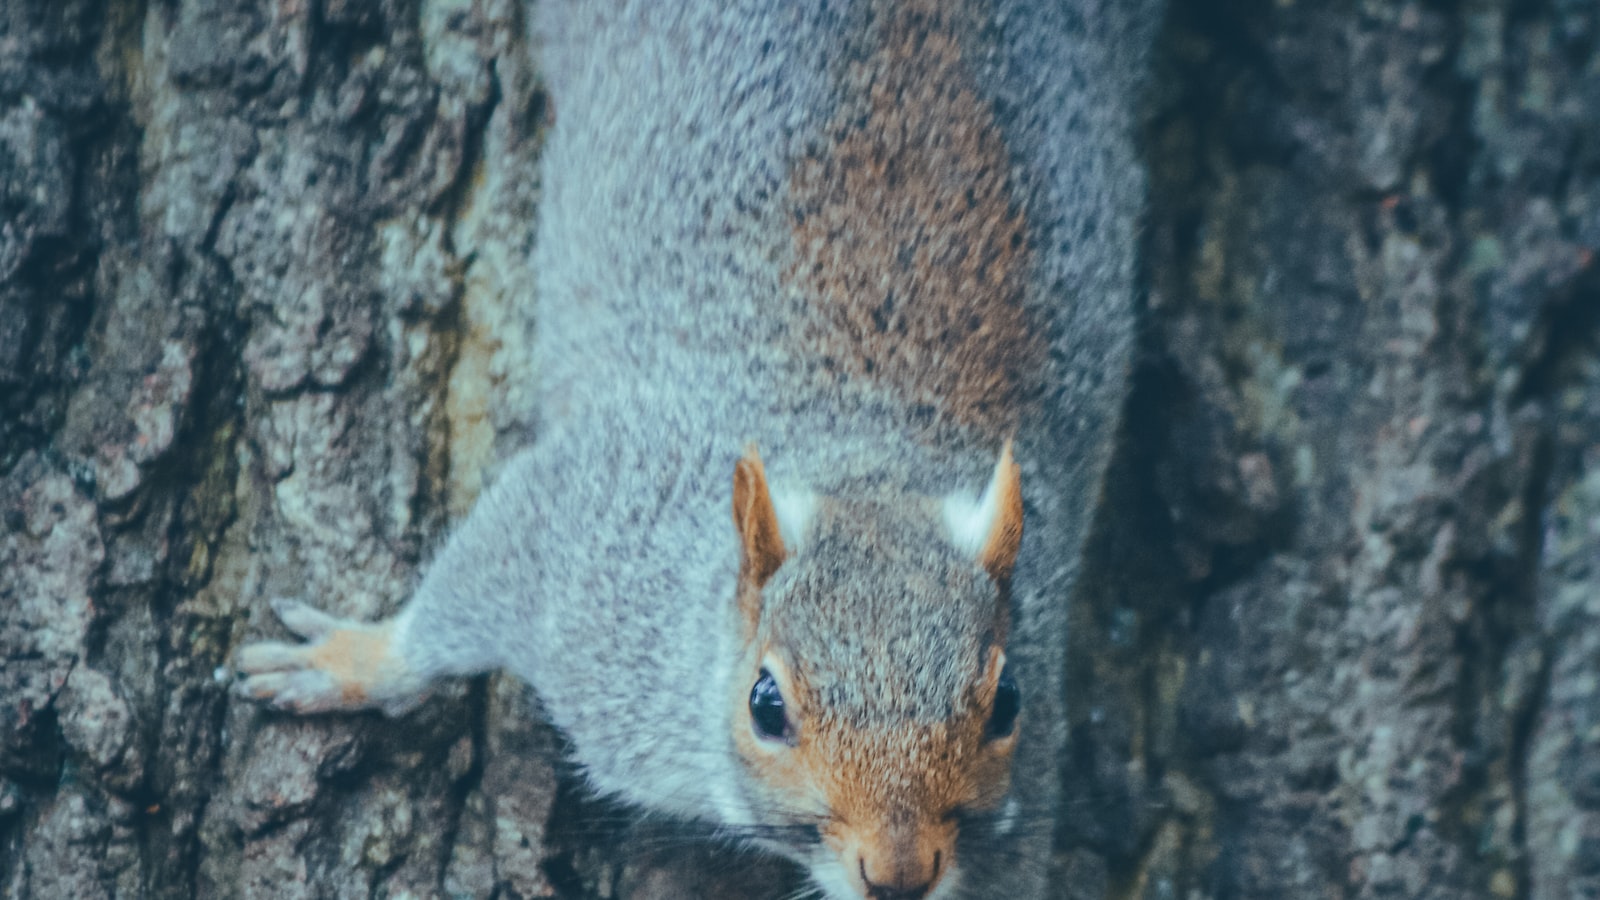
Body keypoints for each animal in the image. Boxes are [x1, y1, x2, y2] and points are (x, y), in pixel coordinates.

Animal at [236, 1, 1158, 896]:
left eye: (1008, 704)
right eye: (765, 706)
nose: (899, 876)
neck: (874, 463)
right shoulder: (595, 559)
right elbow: (466, 595)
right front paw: (351, 663)